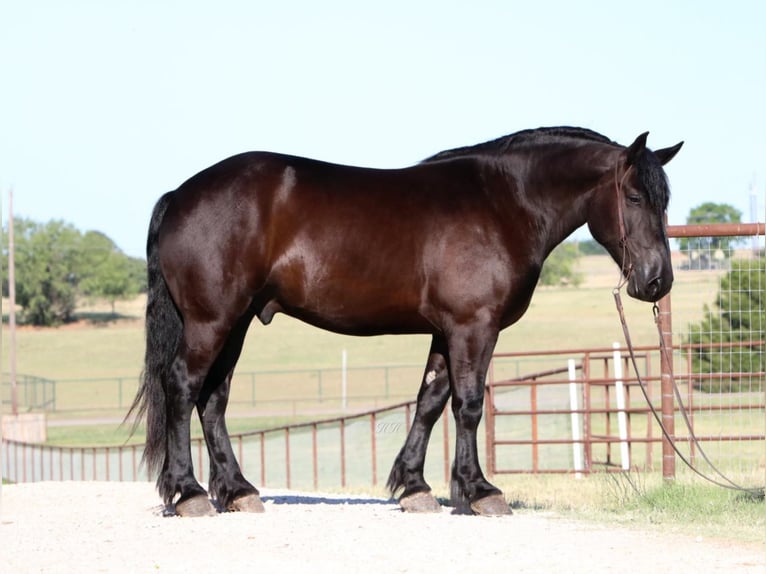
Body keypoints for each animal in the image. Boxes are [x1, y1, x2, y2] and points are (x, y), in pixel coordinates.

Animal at [127, 128, 684, 520]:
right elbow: (468, 405)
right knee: (183, 386)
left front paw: (414, 488)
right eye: (636, 197)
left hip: (236, 321)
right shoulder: (473, 327)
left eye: (666, 200)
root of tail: (180, 195)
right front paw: (480, 491)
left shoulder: (446, 330)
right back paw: (190, 493)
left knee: (213, 399)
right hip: (211, 320)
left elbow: (431, 400)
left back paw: (238, 491)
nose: (658, 281)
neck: (503, 202)